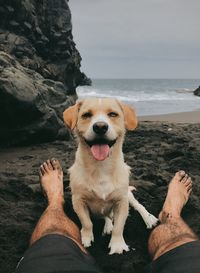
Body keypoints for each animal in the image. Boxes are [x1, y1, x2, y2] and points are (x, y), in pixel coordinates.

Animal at [63, 97, 157, 253]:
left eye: (113, 114)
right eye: (86, 115)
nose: (100, 126)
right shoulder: (78, 200)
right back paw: (107, 225)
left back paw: (148, 219)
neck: (101, 166)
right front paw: (86, 237)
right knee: (106, 216)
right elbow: (86, 222)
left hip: (129, 196)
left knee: (139, 206)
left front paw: (117, 245)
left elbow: (119, 226)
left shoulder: (122, 201)